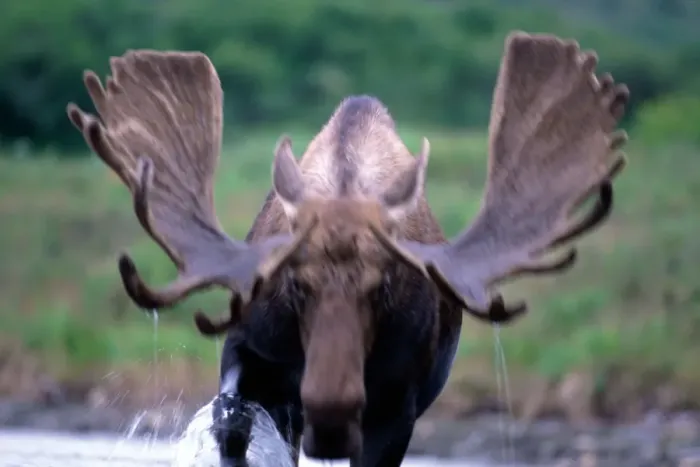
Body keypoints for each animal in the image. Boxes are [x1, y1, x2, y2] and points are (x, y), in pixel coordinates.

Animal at [65, 31, 629, 467]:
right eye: (294, 284)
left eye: (386, 285)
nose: (331, 408)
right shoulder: (251, 352)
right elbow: (231, 420)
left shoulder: (396, 404)